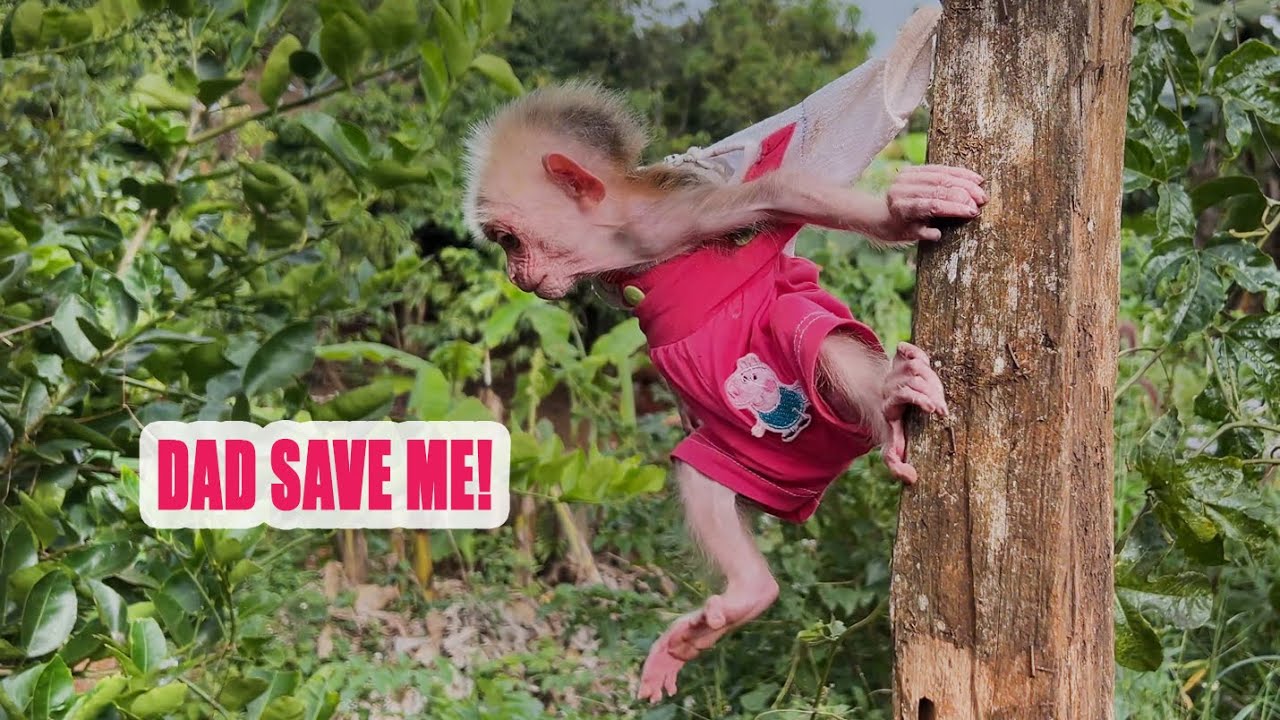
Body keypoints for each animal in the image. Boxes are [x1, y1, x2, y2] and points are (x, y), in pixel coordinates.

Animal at [462, 81, 986, 703]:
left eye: (509, 240)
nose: (513, 274)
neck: (618, 240)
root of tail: (819, 475)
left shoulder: (670, 221)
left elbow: (775, 196)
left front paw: (897, 214)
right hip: (754, 463)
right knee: (702, 473)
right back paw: (745, 595)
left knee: (802, 322)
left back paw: (889, 399)